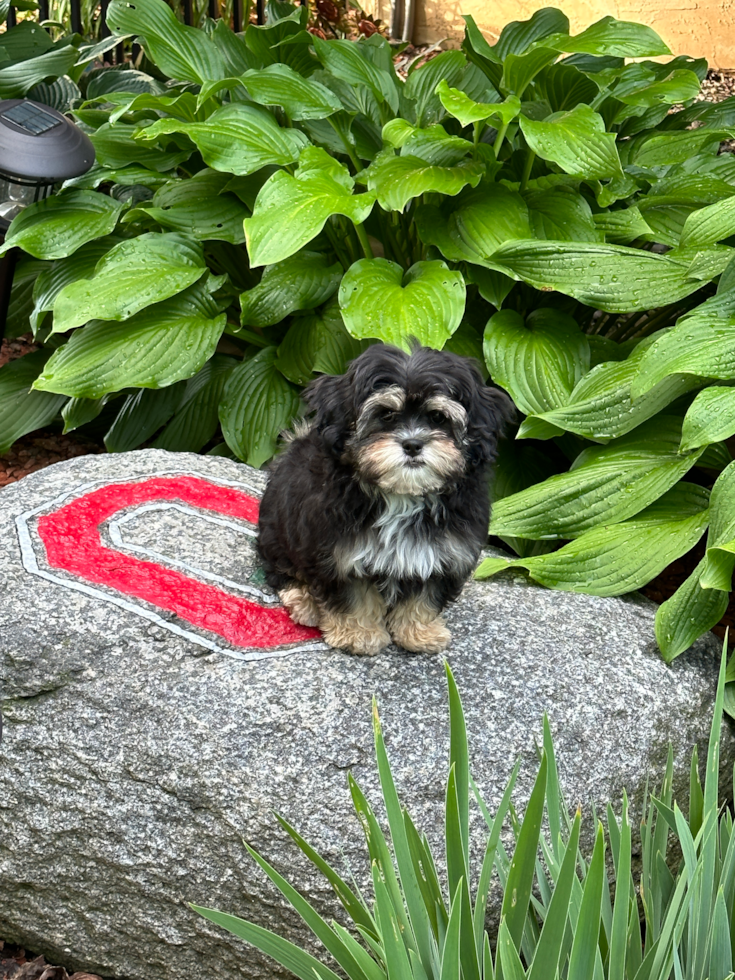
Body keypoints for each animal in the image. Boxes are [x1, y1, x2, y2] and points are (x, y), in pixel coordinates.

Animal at [258, 344, 516, 660]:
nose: (413, 444)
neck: (402, 496)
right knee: (282, 568)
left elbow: (425, 595)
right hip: (278, 528)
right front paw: (359, 635)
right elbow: (353, 595)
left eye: (438, 418)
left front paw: (420, 633)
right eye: (386, 415)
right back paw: (304, 601)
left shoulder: (444, 553)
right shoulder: (338, 553)